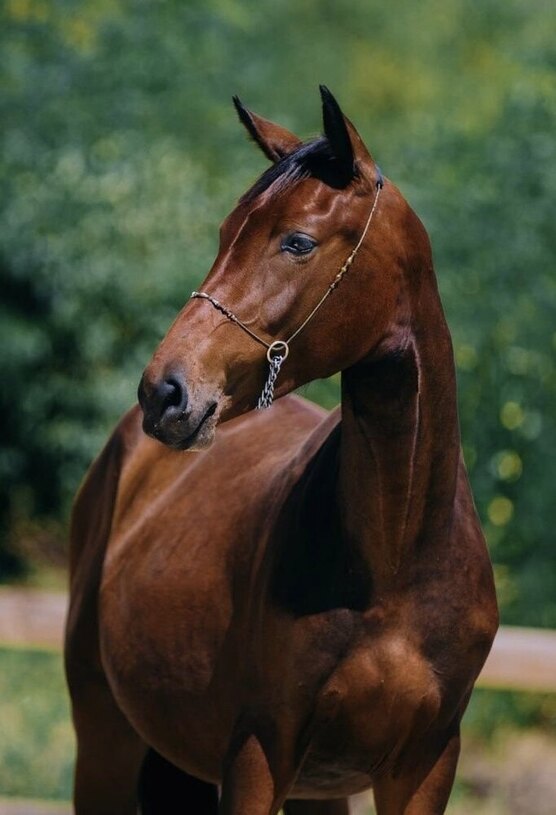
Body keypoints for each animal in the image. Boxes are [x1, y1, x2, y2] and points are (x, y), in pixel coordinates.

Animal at [65, 86, 498, 814]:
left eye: (298, 241)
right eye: (224, 234)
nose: (165, 393)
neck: (397, 558)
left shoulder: (426, 764)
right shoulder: (258, 752)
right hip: (104, 741)